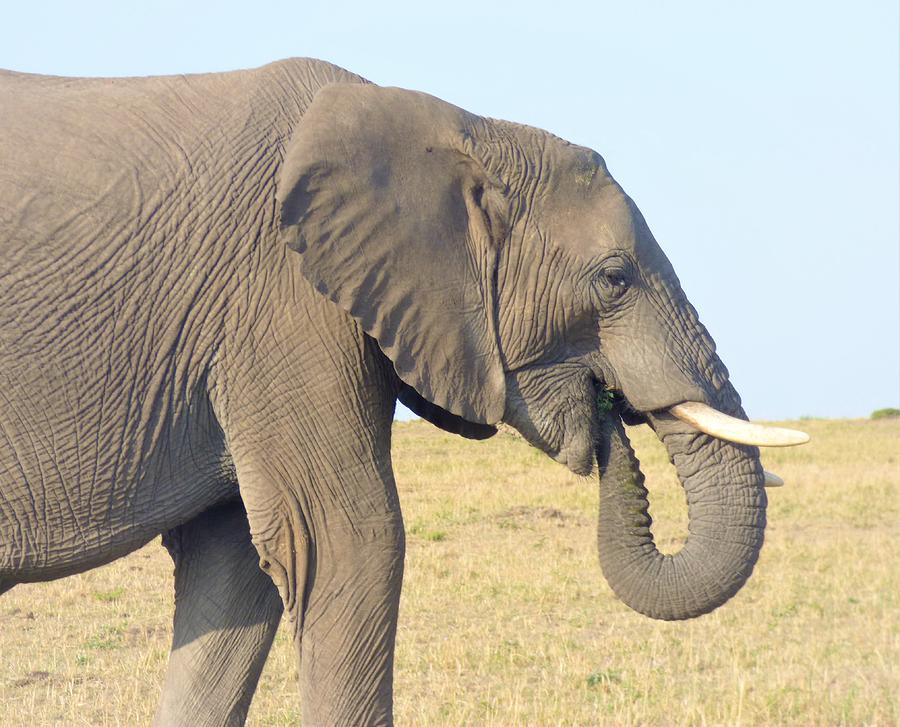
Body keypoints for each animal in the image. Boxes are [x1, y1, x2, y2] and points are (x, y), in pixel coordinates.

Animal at [0, 59, 804, 724]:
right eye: (614, 278)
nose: (609, 412)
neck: (460, 127)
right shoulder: (285, 302)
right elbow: (349, 540)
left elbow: (232, 567)